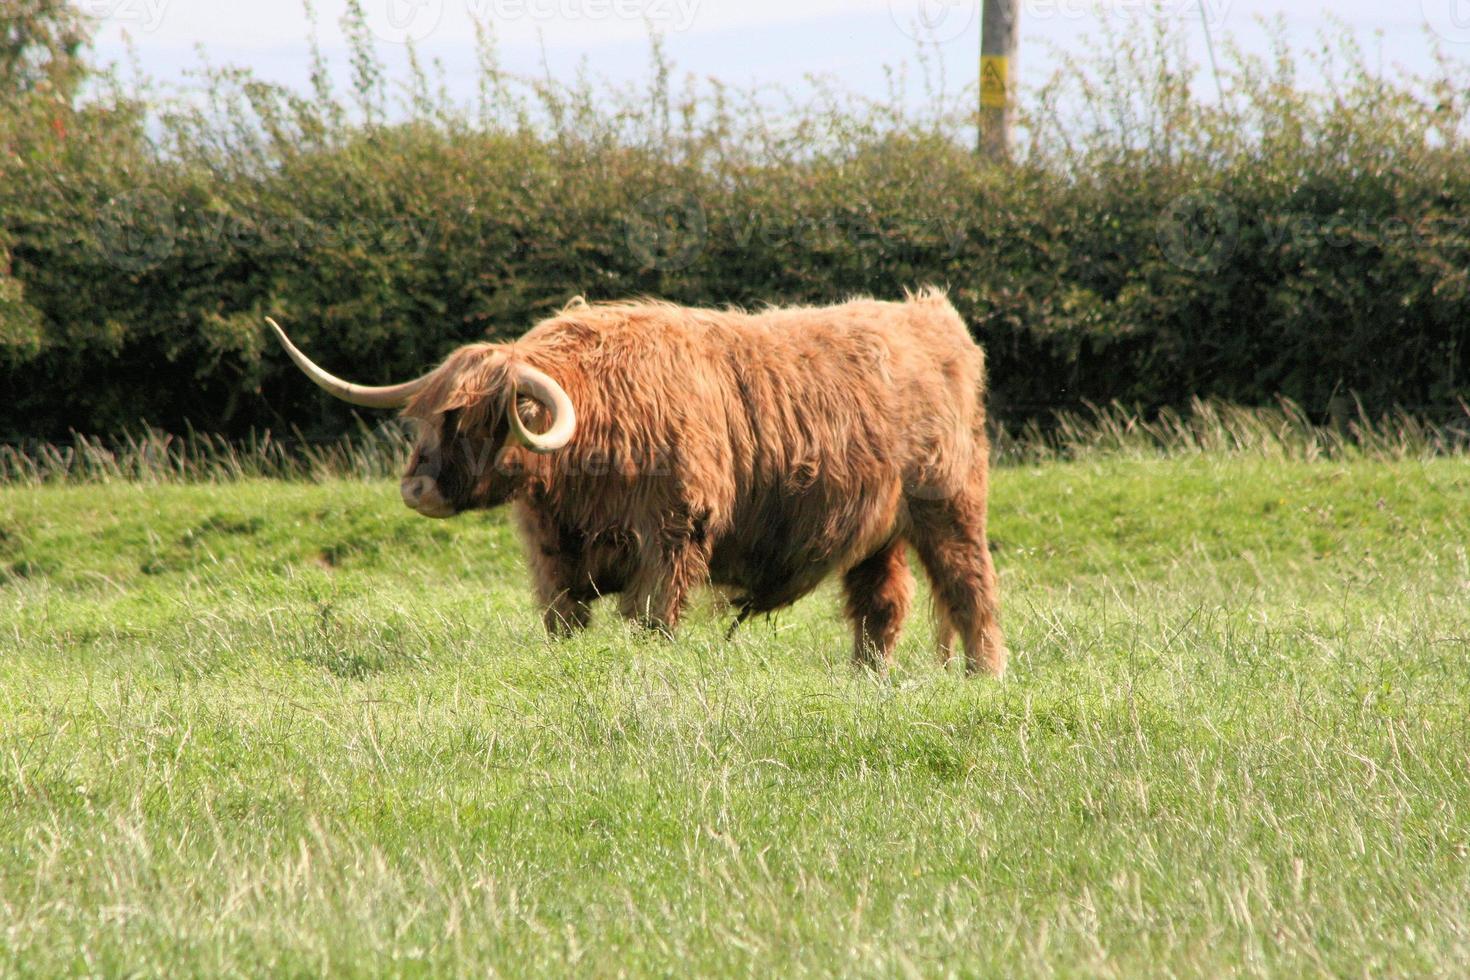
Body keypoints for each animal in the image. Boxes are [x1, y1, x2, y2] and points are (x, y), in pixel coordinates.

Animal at [267, 287, 1011, 678]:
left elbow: (653, 620)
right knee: (881, 604)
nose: (417, 489)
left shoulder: (672, 537)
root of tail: (929, 314)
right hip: (876, 531)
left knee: (969, 587)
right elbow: (562, 622)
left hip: (948, 506)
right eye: (427, 418)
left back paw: (984, 672)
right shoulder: (551, 557)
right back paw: (867, 676)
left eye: (481, 421)